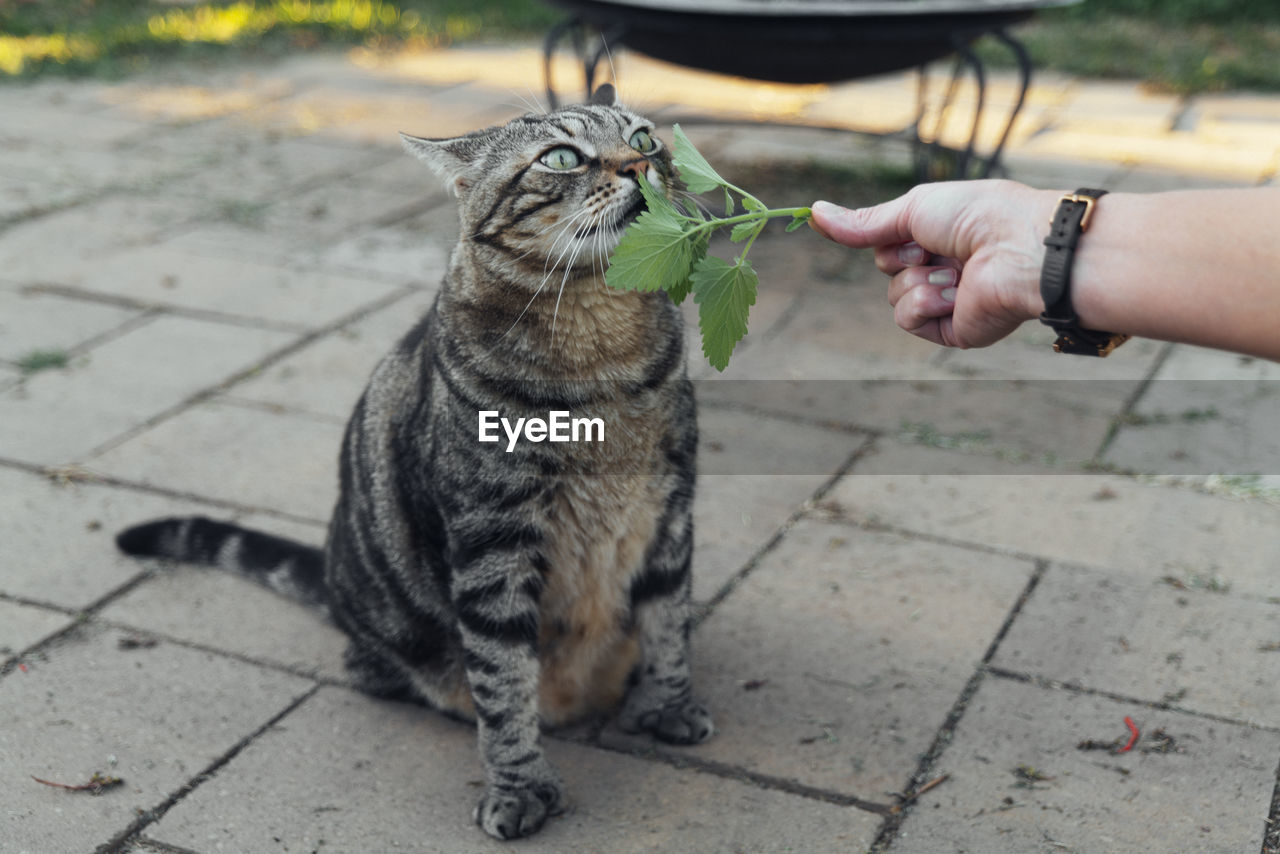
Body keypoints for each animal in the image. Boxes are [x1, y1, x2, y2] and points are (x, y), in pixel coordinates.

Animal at [115, 87, 716, 839]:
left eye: (643, 137)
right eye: (560, 158)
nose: (641, 164)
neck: (602, 351)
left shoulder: (670, 510)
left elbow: (667, 626)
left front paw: (668, 706)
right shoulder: (492, 545)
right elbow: (503, 680)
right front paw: (520, 785)